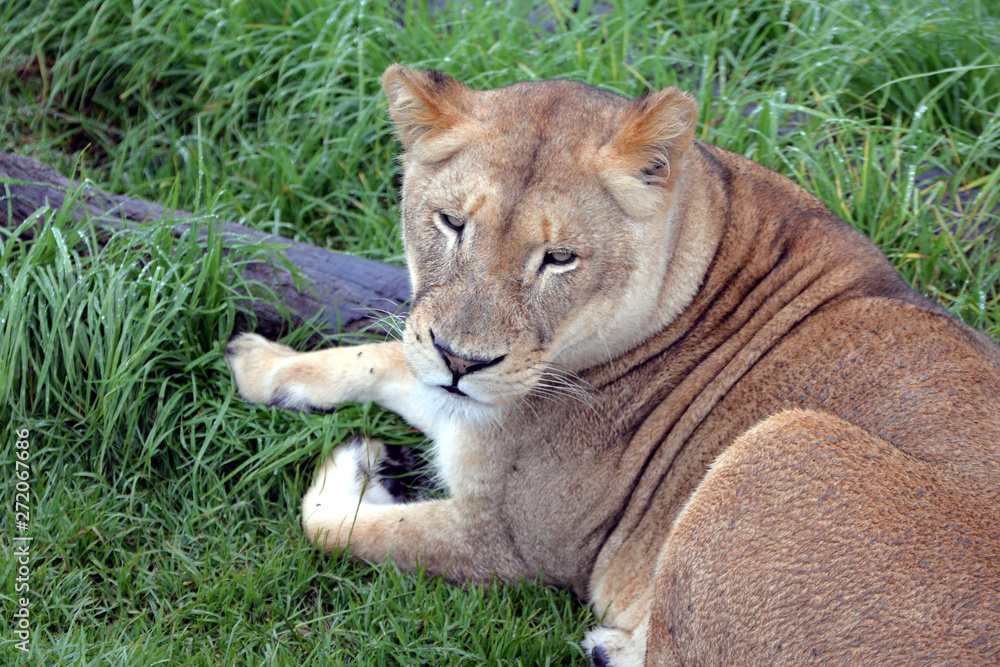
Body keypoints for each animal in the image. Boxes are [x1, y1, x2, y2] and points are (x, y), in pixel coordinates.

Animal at [226, 65, 1000, 665]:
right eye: (451, 223)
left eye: (560, 257)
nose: (460, 361)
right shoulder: (453, 389)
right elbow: (381, 354)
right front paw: (260, 363)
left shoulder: (518, 546)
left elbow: (338, 530)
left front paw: (355, 465)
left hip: (783, 443)